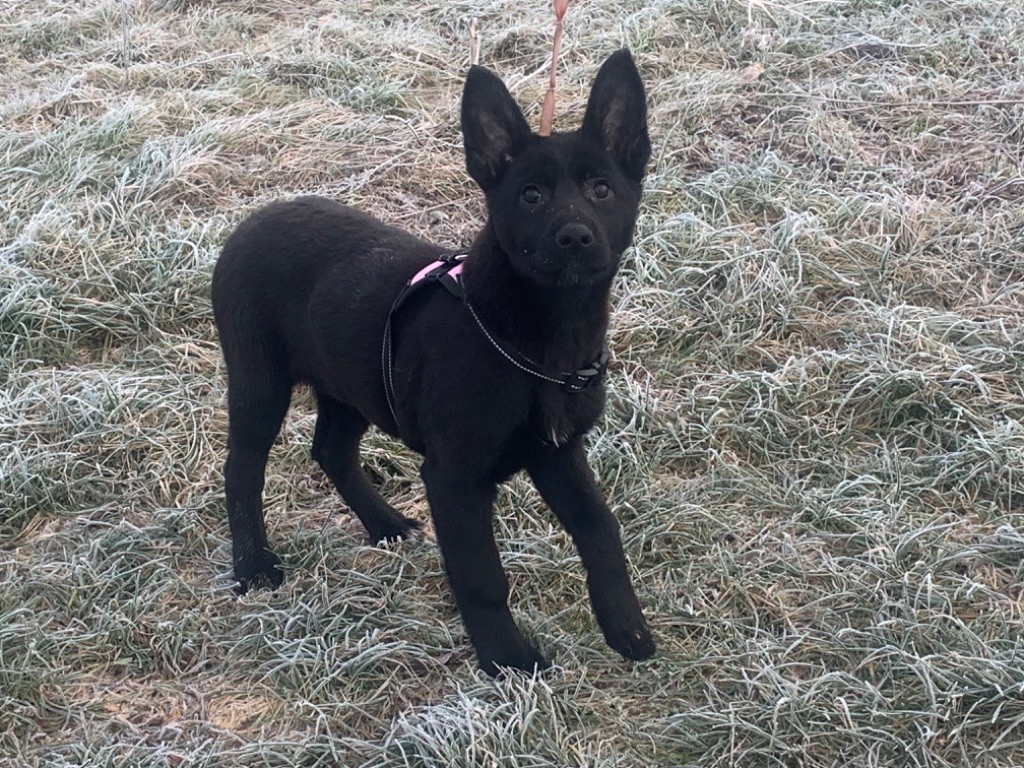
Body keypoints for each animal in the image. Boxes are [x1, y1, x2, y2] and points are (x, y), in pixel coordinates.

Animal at [214, 49, 655, 671]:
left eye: (601, 189)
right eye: (531, 195)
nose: (574, 238)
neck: (537, 342)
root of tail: (249, 224)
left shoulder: (558, 452)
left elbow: (601, 529)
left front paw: (625, 626)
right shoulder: (455, 479)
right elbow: (483, 577)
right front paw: (508, 662)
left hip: (352, 381)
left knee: (330, 451)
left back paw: (386, 525)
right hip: (259, 379)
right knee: (242, 471)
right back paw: (254, 567)